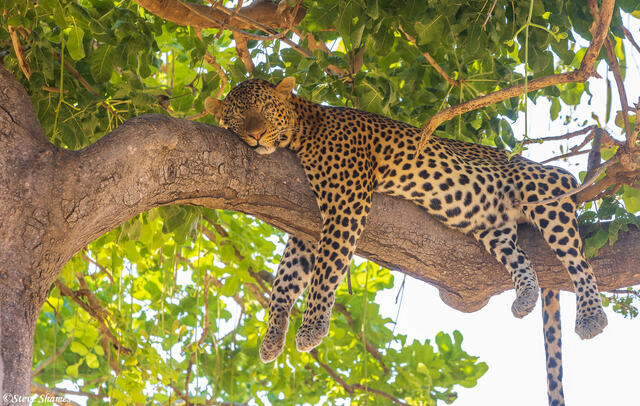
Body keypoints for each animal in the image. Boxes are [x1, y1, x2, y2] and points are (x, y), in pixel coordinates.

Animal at [206, 77, 607, 405]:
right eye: (236, 118)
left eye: (262, 110)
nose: (255, 136)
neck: (302, 131)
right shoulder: (305, 227)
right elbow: (286, 279)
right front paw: (273, 335)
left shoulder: (345, 202)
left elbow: (325, 271)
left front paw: (311, 328)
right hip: (493, 227)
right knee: (522, 258)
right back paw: (525, 296)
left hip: (544, 189)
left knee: (577, 259)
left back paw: (591, 316)